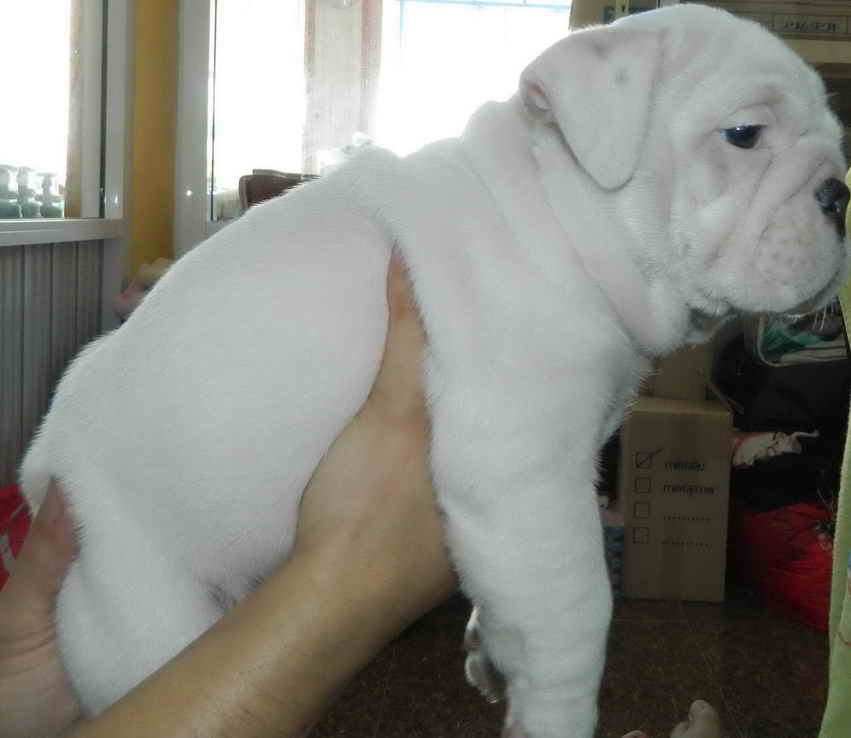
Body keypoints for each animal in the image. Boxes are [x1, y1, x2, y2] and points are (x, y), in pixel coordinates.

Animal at [20, 5, 849, 737]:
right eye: (742, 135)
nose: (840, 193)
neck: (556, 210)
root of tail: (45, 470)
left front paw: (493, 647)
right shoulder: (522, 469)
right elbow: (575, 610)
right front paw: (557, 716)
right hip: (145, 611)